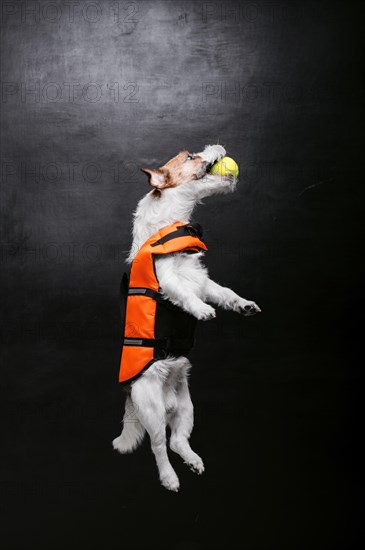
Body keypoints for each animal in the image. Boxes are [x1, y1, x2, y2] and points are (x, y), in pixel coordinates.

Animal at [112, 144, 260, 494]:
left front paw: (243, 305)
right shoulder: (169, 281)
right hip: (151, 410)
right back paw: (169, 477)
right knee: (158, 446)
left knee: (178, 440)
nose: (218, 146)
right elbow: (185, 295)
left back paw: (192, 461)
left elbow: (225, 292)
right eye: (191, 157)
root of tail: (132, 396)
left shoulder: (203, 282)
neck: (171, 224)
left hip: (187, 407)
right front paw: (201, 311)